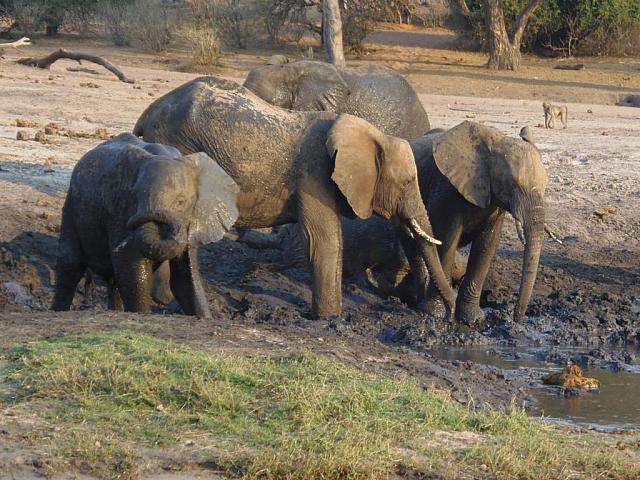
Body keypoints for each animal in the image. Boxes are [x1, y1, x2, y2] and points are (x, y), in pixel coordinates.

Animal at [52, 133, 238, 316]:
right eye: (135, 197)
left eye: (181, 202)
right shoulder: (118, 211)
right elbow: (133, 273)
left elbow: (186, 280)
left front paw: (204, 317)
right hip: (71, 204)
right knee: (70, 264)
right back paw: (58, 311)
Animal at [135, 77, 456, 320]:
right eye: (407, 182)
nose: (452, 319)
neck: (373, 134)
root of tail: (148, 113)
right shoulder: (314, 176)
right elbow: (325, 241)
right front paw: (330, 319)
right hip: (177, 144)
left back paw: (164, 300)